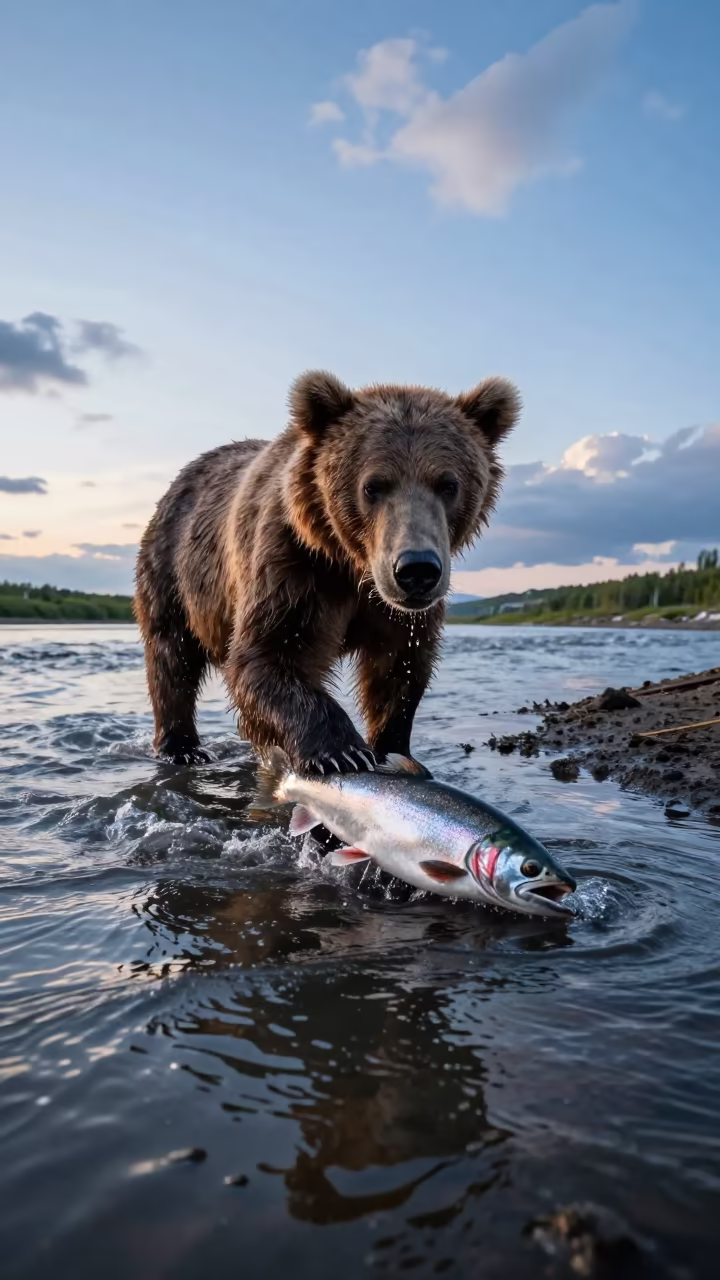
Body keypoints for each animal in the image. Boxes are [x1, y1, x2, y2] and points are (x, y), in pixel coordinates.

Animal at [134, 370, 520, 775]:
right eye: (373, 486)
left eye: (448, 484)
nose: (416, 569)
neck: (354, 568)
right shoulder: (293, 567)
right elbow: (266, 656)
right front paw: (342, 751)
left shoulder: (399, 613)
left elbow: (401, 668)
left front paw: (395, 748)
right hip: (173, 567)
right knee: (171, 658)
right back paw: (183, 747)